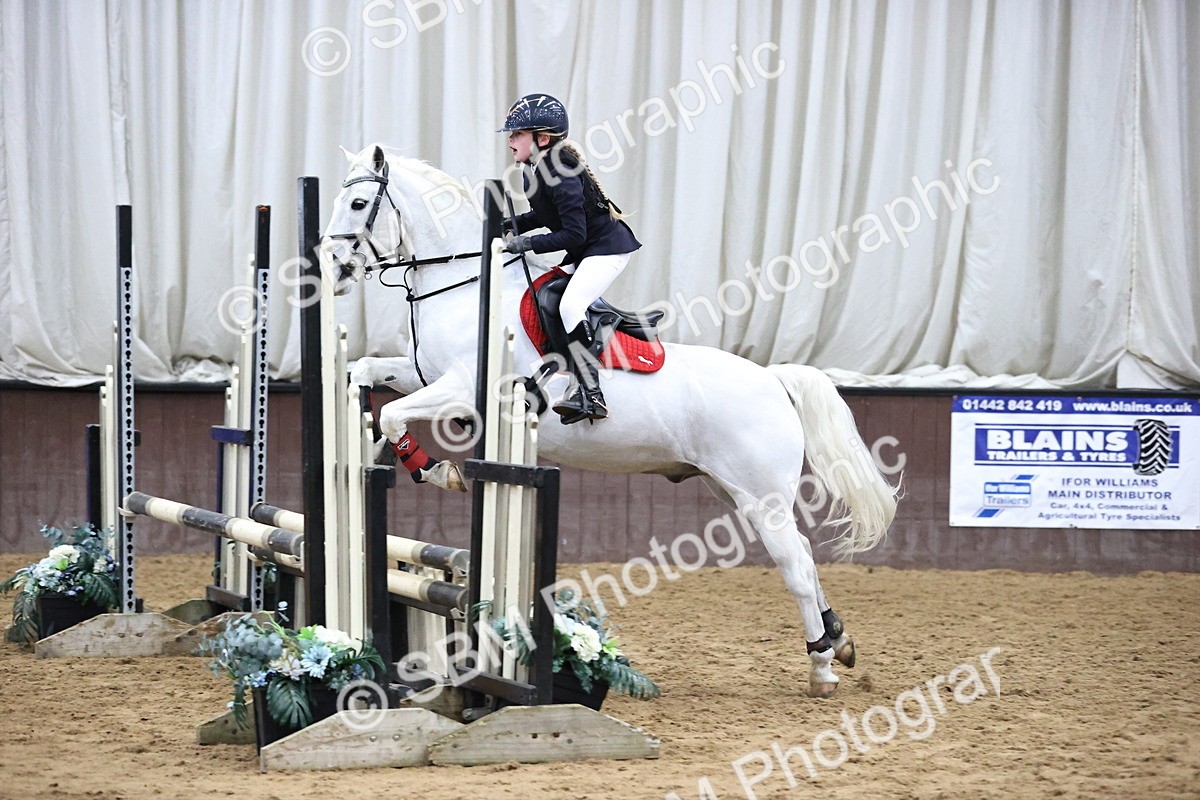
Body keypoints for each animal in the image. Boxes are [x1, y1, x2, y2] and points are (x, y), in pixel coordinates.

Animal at [322, 144, 899, 698]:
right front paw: (378, 448)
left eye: (358, 203)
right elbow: (368, 376)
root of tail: (773, 380)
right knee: (803, 553)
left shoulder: (463, 389)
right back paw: (838, 641)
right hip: (733, 487)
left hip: (761, 494)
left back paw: (822, 668)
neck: (462, 288)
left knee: (795, 563)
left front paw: (439, 471)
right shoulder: (422, 375)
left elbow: (394, 414)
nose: (333, 267)